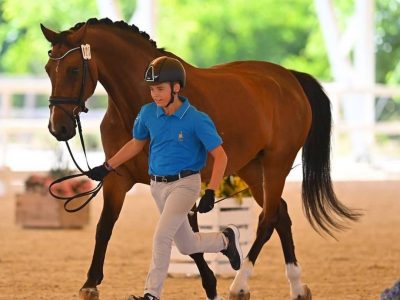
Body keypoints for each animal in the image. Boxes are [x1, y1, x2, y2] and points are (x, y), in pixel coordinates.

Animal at [40, 17, 360, 298]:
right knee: (281, 215)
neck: (139, 103)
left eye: (73, 70)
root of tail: (289, 78)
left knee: (268, 219)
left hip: (276, 164)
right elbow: (105, 227)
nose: (58, 128)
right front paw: (90, 284)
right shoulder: (117, 179)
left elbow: (190, 237)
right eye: (47, 69)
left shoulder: (187, 182)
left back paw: (239, 286)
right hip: (252, 168)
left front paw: (211, 284)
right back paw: (297, 287)